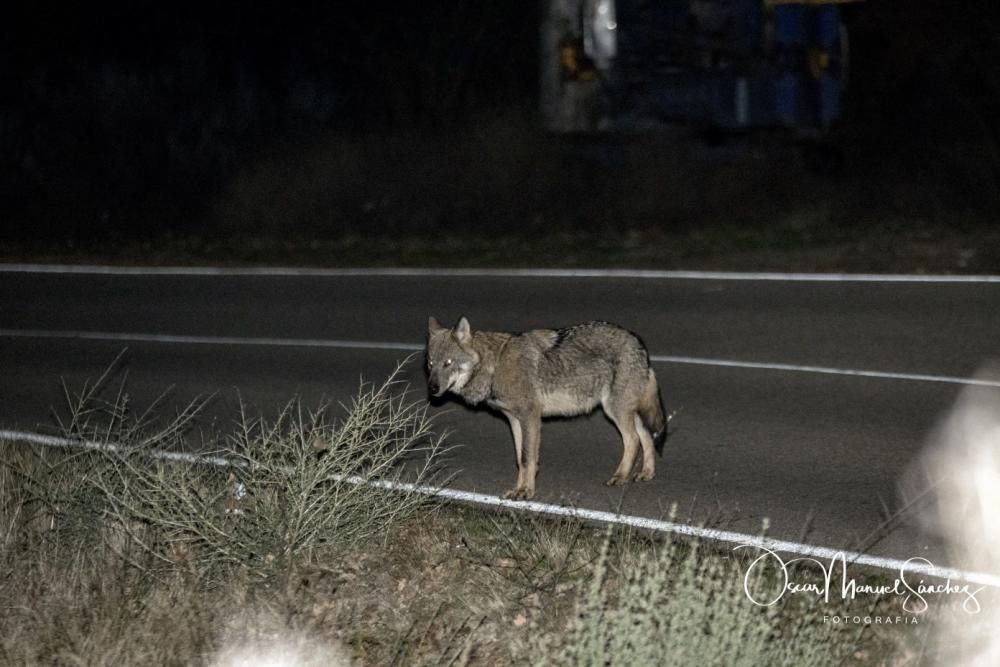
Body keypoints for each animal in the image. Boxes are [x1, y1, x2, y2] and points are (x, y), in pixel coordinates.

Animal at [422, 318, 664, 500]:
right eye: (431, 364)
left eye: (448, 363)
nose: (432, 389)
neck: (495, 365)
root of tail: (639, 343)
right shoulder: (515, 420)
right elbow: (521, 459)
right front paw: (520, 488)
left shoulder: (530, 416)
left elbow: (527, 457)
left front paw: (525, 492)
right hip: (628, 412)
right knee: (647, 437)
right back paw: (647, 473)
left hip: (615, 410)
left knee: (633, 439)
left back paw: (620, 476)